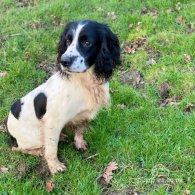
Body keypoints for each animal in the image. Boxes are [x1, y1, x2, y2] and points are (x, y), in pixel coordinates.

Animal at [6, 20, 120, 174]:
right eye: (67, 41)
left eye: (87, 43)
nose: (63, 61)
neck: (84, 82)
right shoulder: (53, 122)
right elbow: (52, 149)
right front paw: (55, 166)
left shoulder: (83, 115)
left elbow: (79, 131)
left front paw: (79, 143)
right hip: (34, 136)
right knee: (18, 148)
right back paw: (39, 151)